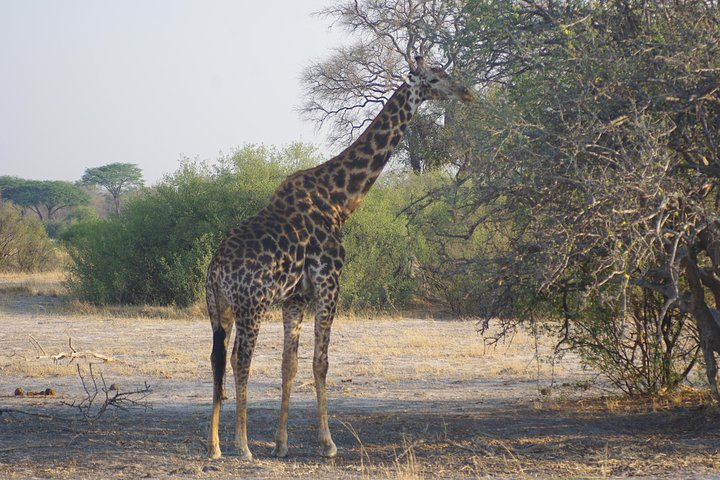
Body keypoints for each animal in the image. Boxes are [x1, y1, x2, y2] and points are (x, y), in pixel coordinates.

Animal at [205, 56, 473, 460]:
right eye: (434, 78)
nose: (466, 91)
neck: (339, 199)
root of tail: (216, 270)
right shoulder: (329, 282)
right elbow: (321, 362)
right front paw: (328, 442)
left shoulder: (295, 297)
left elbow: (289, 364)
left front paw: (282, 444)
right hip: (251, 306)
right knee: (240, 359)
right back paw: (243, 445)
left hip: (219, 309)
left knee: (217, 358)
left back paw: (215, 445)